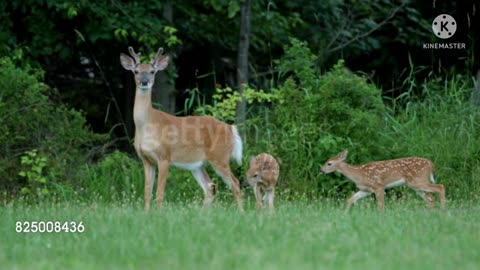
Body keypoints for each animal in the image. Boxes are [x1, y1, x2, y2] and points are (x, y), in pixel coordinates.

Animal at [120, 47, 244, 211]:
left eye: (152, 71)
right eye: (136, 71)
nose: (144, 82)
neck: (147, 124)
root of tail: (231, 129)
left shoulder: (164, 157)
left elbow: (159, 193)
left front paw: (157, 214)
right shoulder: (146, 160)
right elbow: (147, 193)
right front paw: (146, 214)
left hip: (220, 157)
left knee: (235, 183)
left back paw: (241, 212)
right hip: (197, 164)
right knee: (210, 187)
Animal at [318, 150, 446, 211]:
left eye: (329, 163)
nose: (321, 170)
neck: (359, 174)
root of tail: (430, 164)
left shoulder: (378, 185)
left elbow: (380, 205)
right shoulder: (366, 190)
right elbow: (350, 199)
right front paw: (344, 214)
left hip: (417, 181)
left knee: (440, 187)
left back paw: (443, 211)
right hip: (416, 184)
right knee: (430, 198)